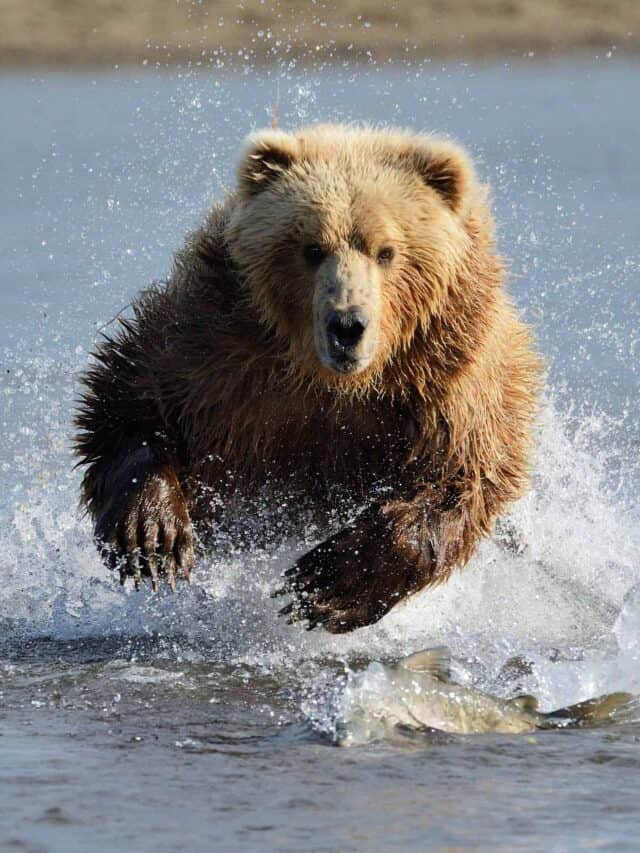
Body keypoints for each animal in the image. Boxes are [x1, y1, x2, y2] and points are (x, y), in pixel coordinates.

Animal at [75, 124, 541, 633]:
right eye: (312, 248)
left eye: (387, 251)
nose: (347, 325)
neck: (333, 381)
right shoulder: (218, 344)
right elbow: (132, 395)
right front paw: (154, 535)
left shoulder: (447, 377)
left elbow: (459, 477)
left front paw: (325, 584)